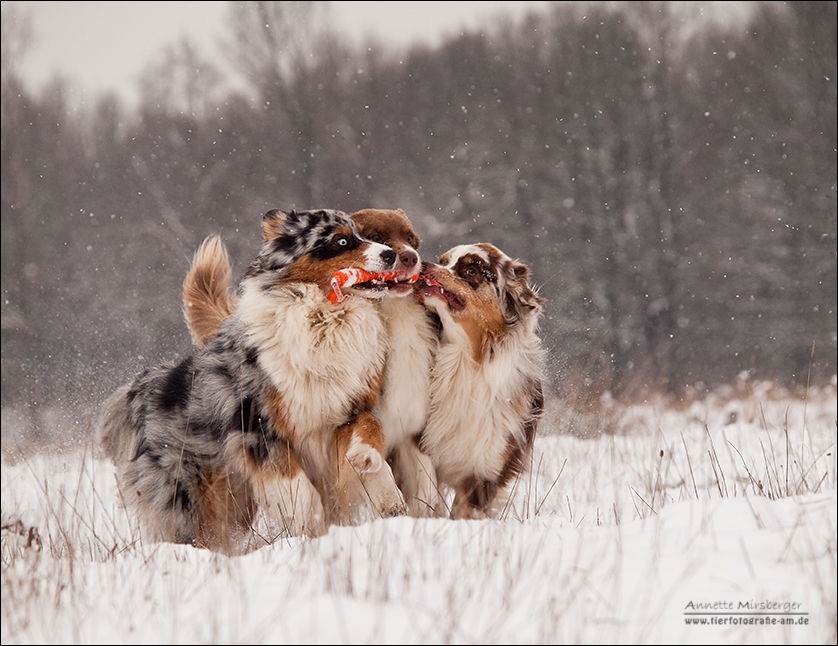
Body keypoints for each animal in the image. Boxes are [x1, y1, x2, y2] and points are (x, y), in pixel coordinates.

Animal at [97, 209, 410, 552]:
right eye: (341, 241)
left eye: (364, 234)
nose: (390, 254)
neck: (323, 319)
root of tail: (136, 391)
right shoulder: (256, 429)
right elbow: (295, 485)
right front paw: (311, 524)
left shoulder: (350, 406)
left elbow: (370, 428)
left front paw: (373, 469)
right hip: (190, 497)